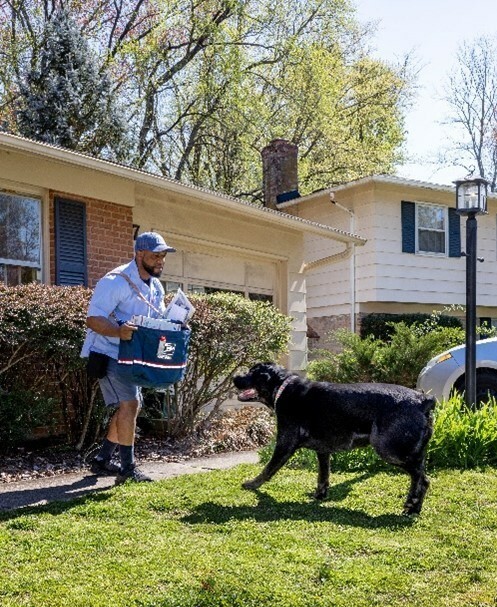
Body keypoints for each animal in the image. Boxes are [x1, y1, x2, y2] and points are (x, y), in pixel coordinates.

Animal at [232, 364, 434, 516]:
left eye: (251, 373)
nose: (234, 377)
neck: (283, 387)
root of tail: (423, 400)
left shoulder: (284, 444)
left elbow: (268, 469)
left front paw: (252, 484)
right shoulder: (323, 451)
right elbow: (323, 476)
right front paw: (320, 495)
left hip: (390, 450)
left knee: (422, 479)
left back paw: (412, 506)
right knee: (419, 477)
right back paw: (413, 507)